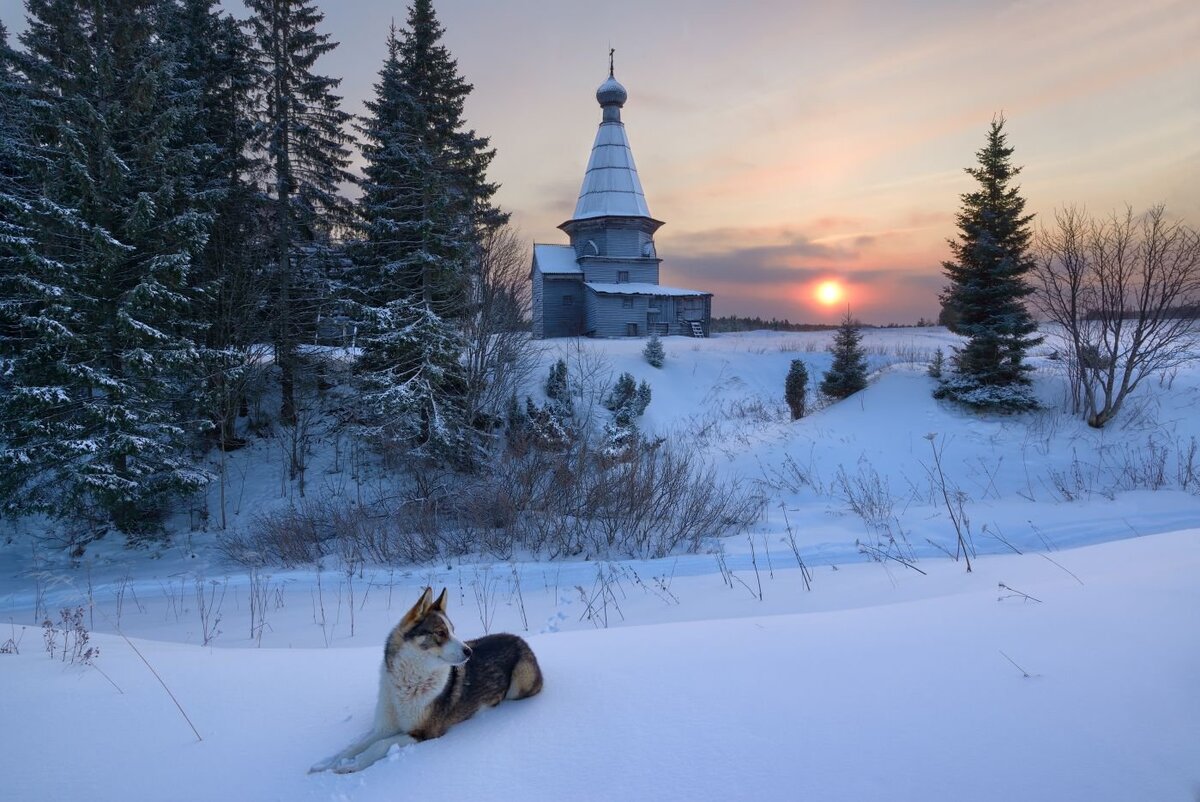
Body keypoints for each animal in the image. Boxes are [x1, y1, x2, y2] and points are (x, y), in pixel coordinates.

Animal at [307, 585, 542, 773]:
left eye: (453, 631)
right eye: (441, 632)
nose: (469, 652)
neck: (409, 680)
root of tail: (520, 638)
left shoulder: (425, 732)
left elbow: (378, 746)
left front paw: (351, 766)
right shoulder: (383, 728)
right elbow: (353, 747)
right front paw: (326, 765)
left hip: (519, 683)